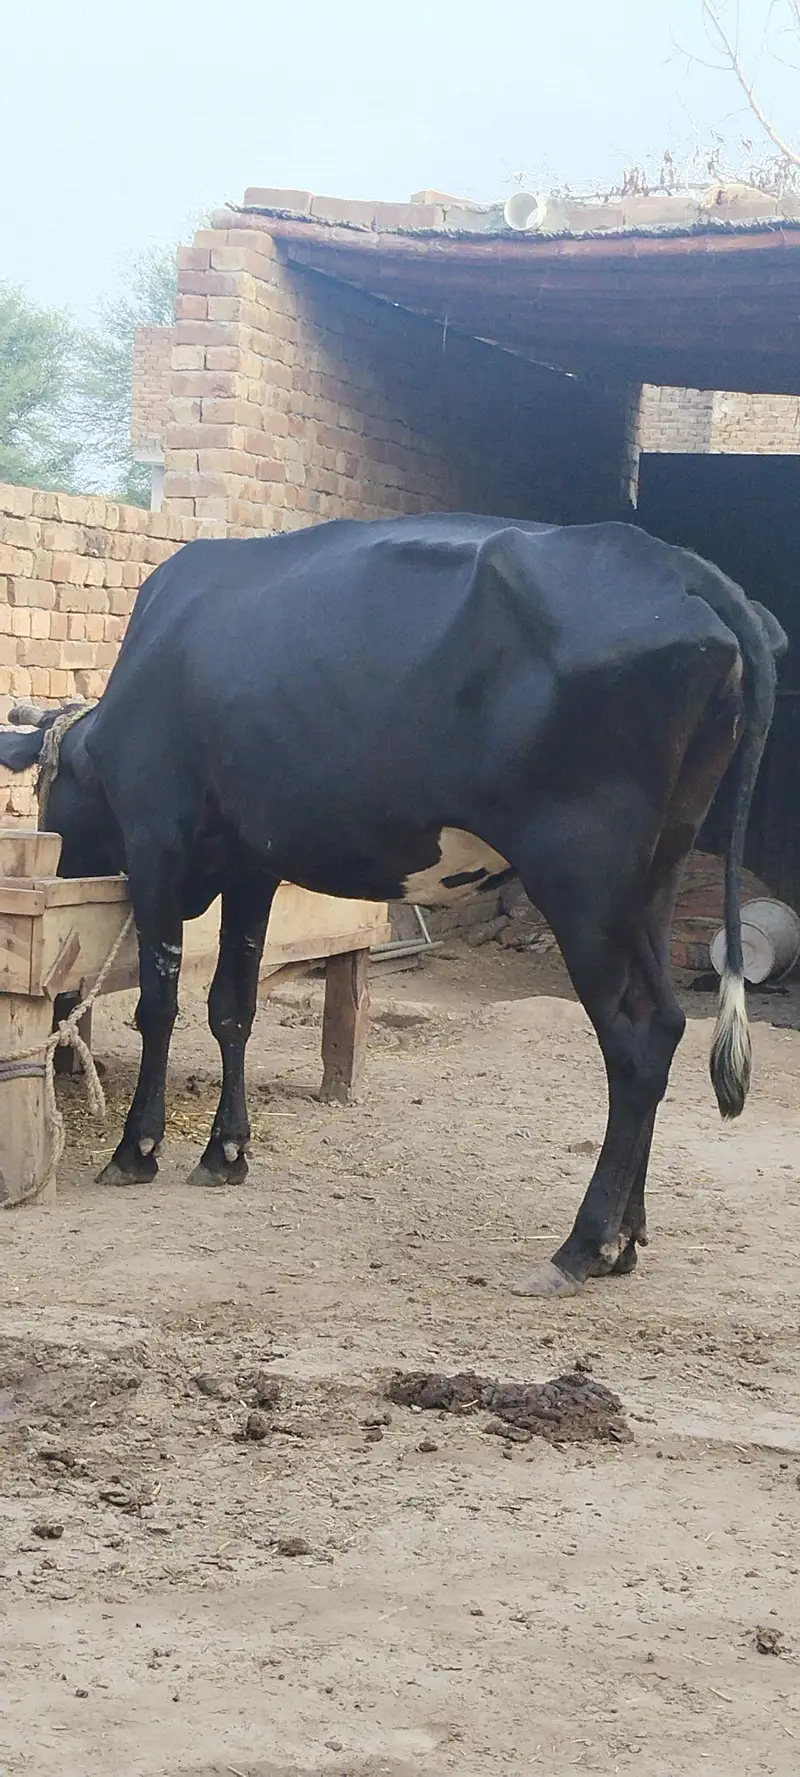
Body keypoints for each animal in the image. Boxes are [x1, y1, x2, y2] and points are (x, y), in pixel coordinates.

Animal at [0, 515, 787, 1299]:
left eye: (45, 790)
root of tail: (677, 565)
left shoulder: (157, 840)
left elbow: (160, 1005)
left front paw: (137, 1148)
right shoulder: (252, 866)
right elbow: (232, 1006)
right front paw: (226, 1151)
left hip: (582, 882)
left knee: (636, 1044)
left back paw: (581, 1244)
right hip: (653, 878)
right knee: (669, 1021)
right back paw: (626, 1237)